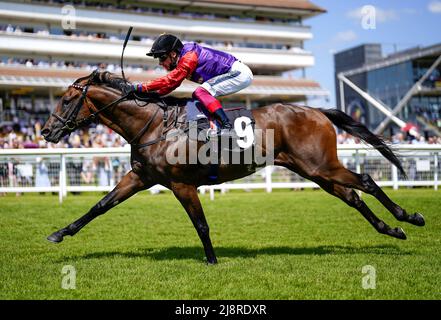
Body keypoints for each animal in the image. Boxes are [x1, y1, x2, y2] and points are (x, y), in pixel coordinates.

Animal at [42, 71, 422, 264]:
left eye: (66, 100)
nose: (46, 131)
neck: (155, 126)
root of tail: (316, 111)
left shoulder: (182, 185)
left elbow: (201, 224)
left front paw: (211, 260)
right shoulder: (140, 176)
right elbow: (100, 205)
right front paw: (59, 233)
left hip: (321, 165)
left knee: (366, 180)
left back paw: (409, 217)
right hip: (314, 170)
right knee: (353, 197)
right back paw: (391, 229)